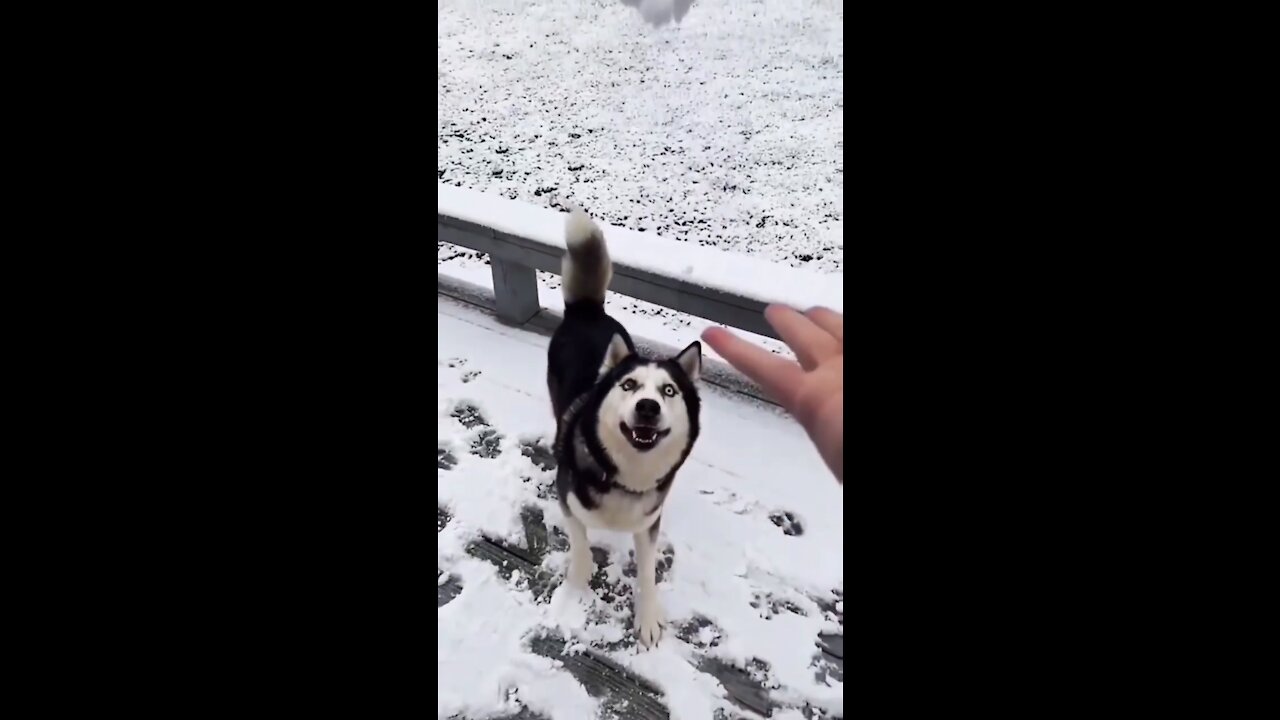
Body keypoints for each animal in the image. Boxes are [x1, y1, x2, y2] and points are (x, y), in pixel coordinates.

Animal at [542, 206, 701, 645]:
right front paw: (575, 587)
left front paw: (647, 618)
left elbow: (647, 572)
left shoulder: (648, 523)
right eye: (629, 385)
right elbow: (580, 545)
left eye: (668, 391)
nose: (647, 407)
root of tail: (588, 311)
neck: (625, 476)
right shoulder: (569, 499)